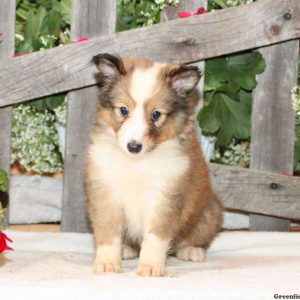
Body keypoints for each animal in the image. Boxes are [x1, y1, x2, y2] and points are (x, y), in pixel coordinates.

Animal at [84, 53, 223, 276]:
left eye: (156, 114)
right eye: (123, 110)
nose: (133, 146)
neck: (137, 163)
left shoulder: (166, 196)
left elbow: (155, 237)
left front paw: (150, 267)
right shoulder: (105, 192)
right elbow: (107, 232)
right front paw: (107, 264)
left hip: (210, 213)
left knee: (194, 239)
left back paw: (192, 251)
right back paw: (126, 249)